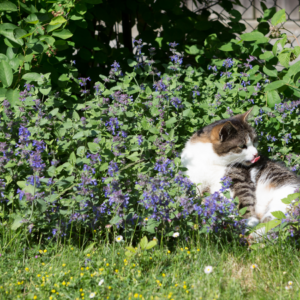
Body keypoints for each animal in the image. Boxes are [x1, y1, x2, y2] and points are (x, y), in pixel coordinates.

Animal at [180, 109, 300, 238]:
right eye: (242, 146)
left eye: (254, 141)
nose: (256, 154)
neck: (209, 162)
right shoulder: (193, 178)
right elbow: (191, 195)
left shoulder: (238, 178)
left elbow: (243, 198)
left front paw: (249, 221)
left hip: (285, 198)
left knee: (274, 223)